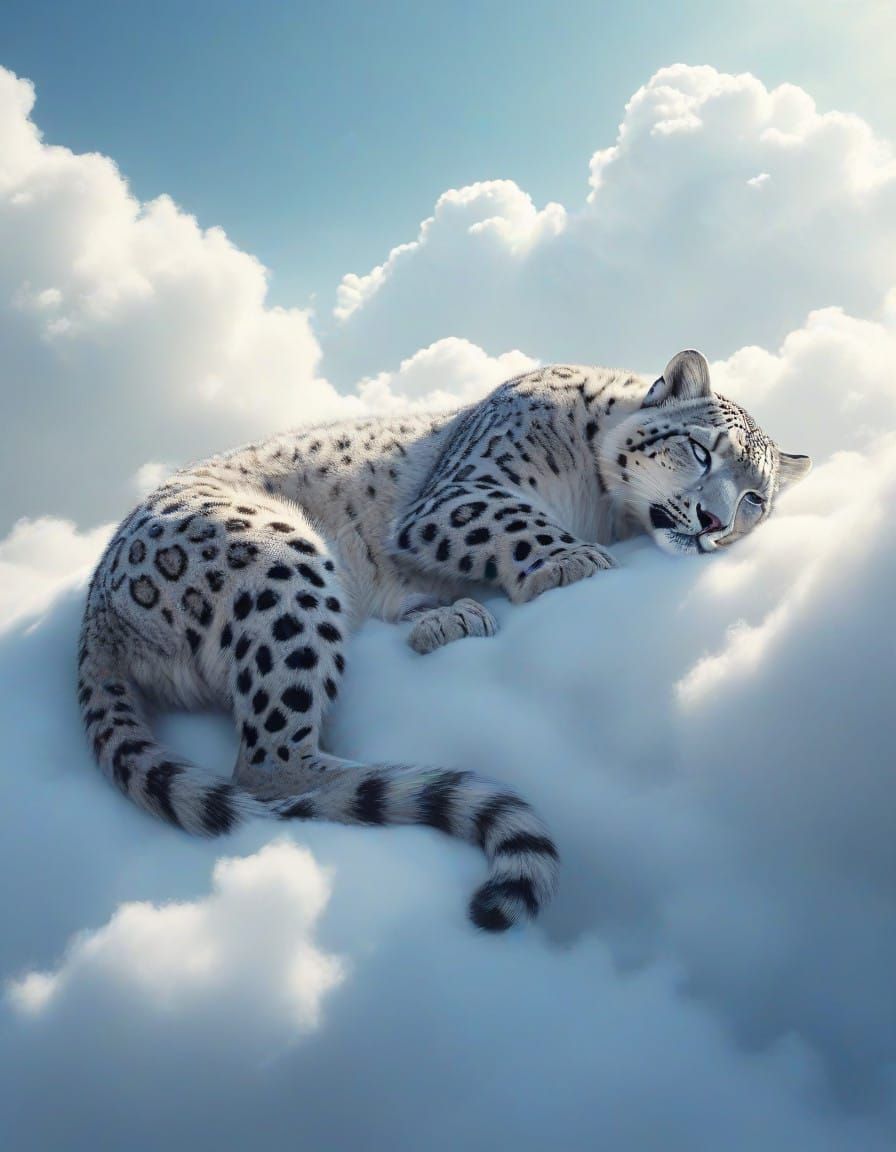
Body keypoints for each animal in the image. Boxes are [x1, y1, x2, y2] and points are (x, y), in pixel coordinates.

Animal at [77, 349, 811, 931]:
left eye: (756, 498)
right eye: (702, 450)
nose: (714, 522)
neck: (602, 505)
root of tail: (97, 606)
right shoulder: (462, 492)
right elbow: (515, 522)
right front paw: (574, 563)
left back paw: (449, 622)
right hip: (277, 567)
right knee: (268, 766)